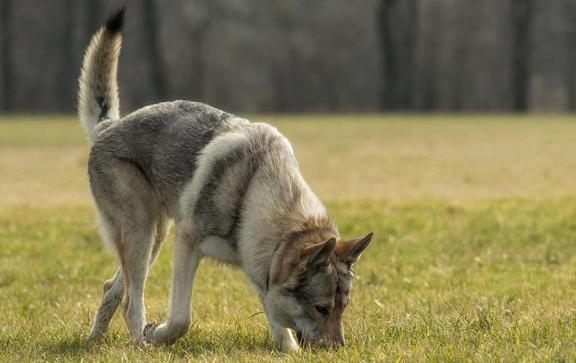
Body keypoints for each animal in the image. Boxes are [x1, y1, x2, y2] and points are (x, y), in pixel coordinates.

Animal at [79, 7, 372, 352]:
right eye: (321, 308)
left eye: (343, 308)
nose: (339, 350)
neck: (253, 193)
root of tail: (108, 127)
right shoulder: (187, 242)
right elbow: (181, 318)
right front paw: (158, 333)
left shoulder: (263, 270)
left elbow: (281, 331)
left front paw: (289, 350)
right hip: (143, 233)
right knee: (131, 300)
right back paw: (141, 342)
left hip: (154, 237)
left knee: (111, 288)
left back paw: (94, 339)